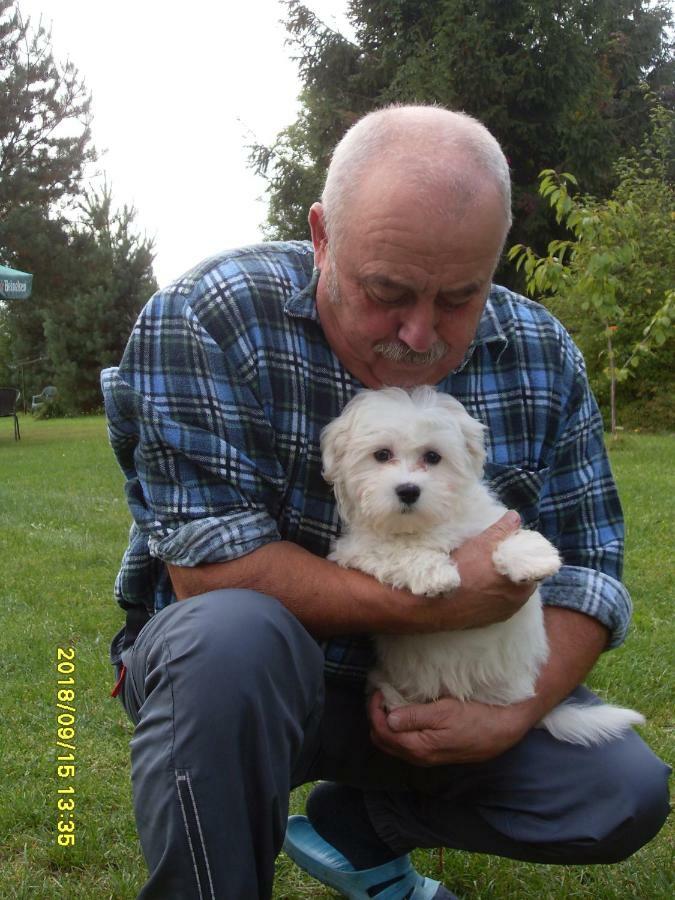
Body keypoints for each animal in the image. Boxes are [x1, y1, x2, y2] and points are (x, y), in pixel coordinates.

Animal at [322, 386, 644, 744]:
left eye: (433, 457)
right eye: (381, 455)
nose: (408, 490)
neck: (425, 523)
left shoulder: (484, 522)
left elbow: (508, 534)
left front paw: (533, 558)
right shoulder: (358, 548)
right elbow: (397, 551)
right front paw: (436, 575)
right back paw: (394, 700)